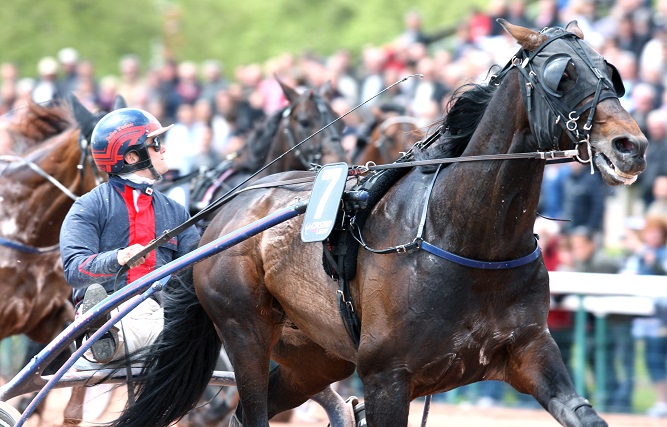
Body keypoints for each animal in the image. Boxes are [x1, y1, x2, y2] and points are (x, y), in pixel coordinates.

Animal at [108, 20, 648, 427]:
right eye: (564, 75)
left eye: (611, 73)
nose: (632, 146)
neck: (468, 240)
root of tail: (223, 213)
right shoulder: (387, 378)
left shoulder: (530, 351)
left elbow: (583, 413)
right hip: (243, 331)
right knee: (252, 408)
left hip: (315, 355)